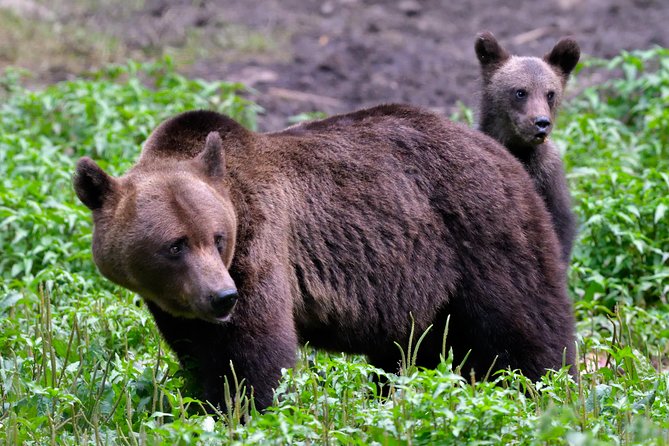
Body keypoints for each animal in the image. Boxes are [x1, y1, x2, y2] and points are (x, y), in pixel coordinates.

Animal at [73, 104, 575, 412]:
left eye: (216, 237)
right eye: (175, 245)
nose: (221, 297)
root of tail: (502, 153)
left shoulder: (261, 244)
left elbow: (254, 355)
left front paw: (247, 409)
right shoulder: (179, 306)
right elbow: (201, 354)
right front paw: (202, 402)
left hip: (482, 234)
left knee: (525, 329)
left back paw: (552, 390)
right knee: (412, 352)